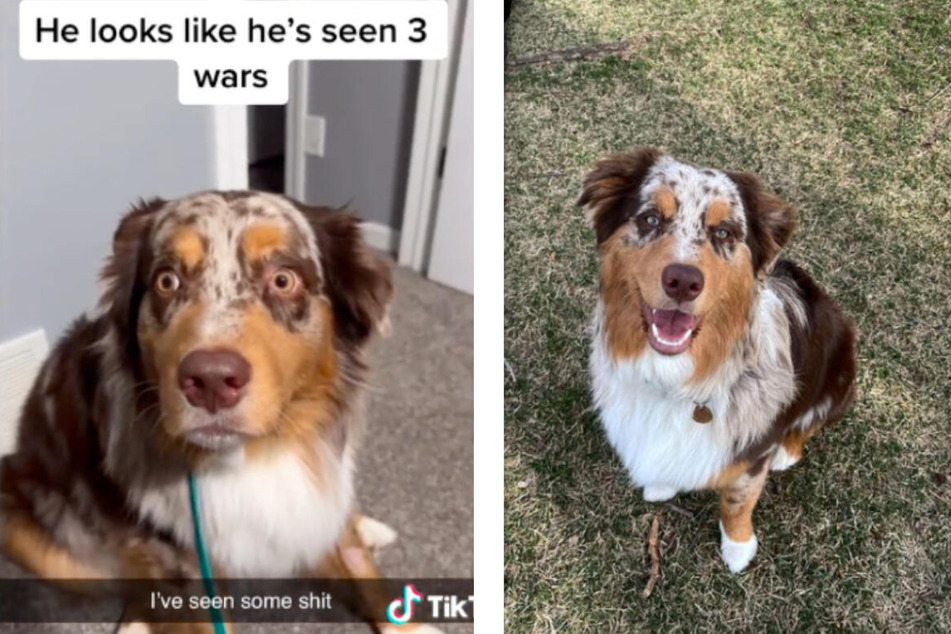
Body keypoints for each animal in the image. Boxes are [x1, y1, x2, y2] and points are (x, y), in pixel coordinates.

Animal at [0, 190, 442, 628]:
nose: (210, 381)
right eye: (167, 281)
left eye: (284, 279)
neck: (256, 453)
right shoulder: (188, 565)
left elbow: (358, 566)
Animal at [580, 149, 864, 572]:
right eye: (650, 218)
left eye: (725, 233)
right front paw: (662, 484)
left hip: (841, 375)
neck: (676, 380)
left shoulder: (750, 460)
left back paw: (787, 451)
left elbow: (737, 503)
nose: (682, 281)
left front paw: (739, 548)